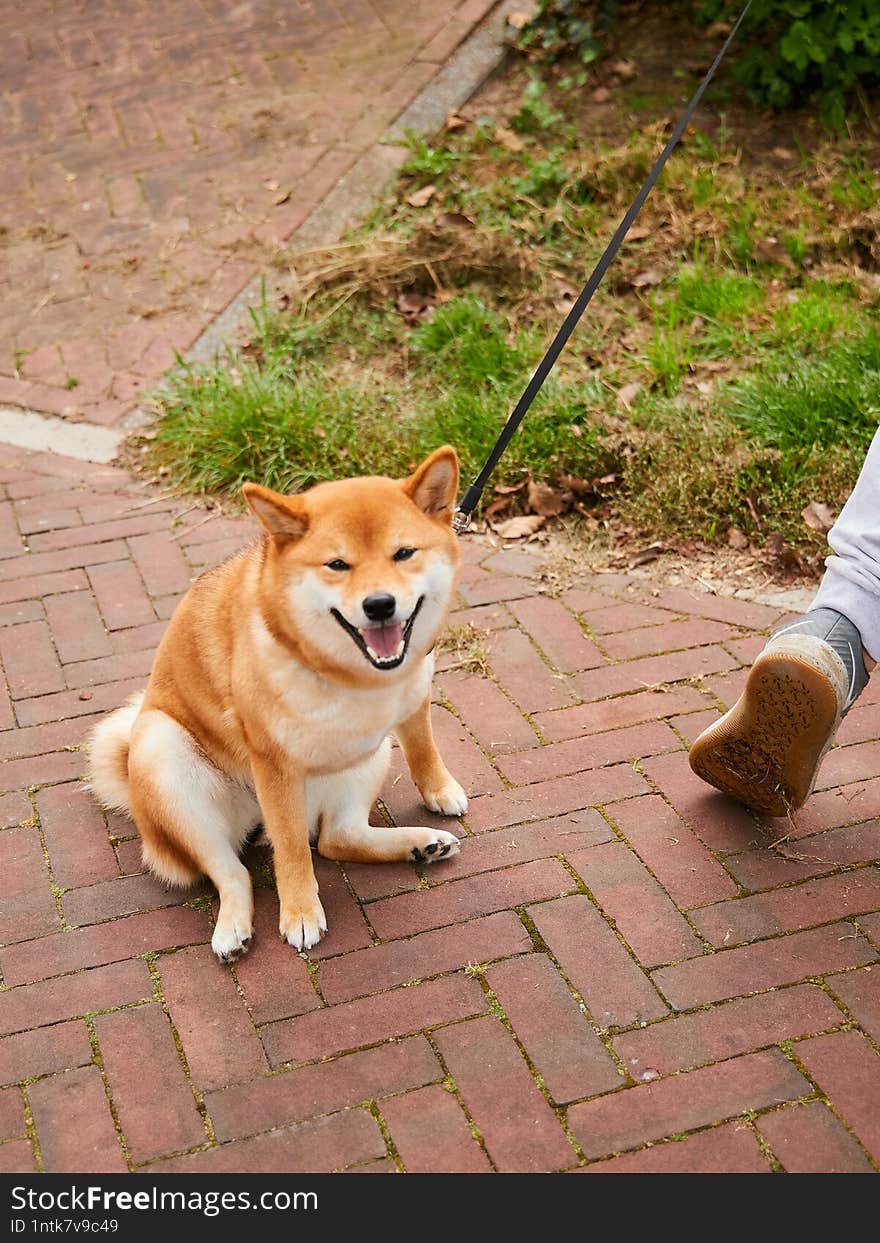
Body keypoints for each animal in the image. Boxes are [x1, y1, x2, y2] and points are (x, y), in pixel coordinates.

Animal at [89, 452, 467, 964]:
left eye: (404, 553)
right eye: (337, 564)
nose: (380, 605)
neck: (351, 676)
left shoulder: (413, 696)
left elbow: (424, 748)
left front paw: (440, 790)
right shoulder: (274, 764)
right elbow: (290, 851)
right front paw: (301, 913)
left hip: (367, 755)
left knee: (336, 839)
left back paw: (420, 845)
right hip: (162, 751)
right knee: (235, 871)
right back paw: (233, 928)